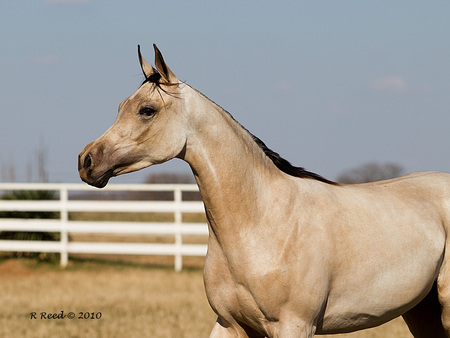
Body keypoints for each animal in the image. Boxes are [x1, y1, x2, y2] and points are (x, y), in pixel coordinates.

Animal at [79, 44, 450, 336]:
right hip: (422, 312)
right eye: (121, 106)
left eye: (147, 110)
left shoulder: (294, 326)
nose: (86, 160)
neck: (262, 224)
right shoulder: (230, 325)